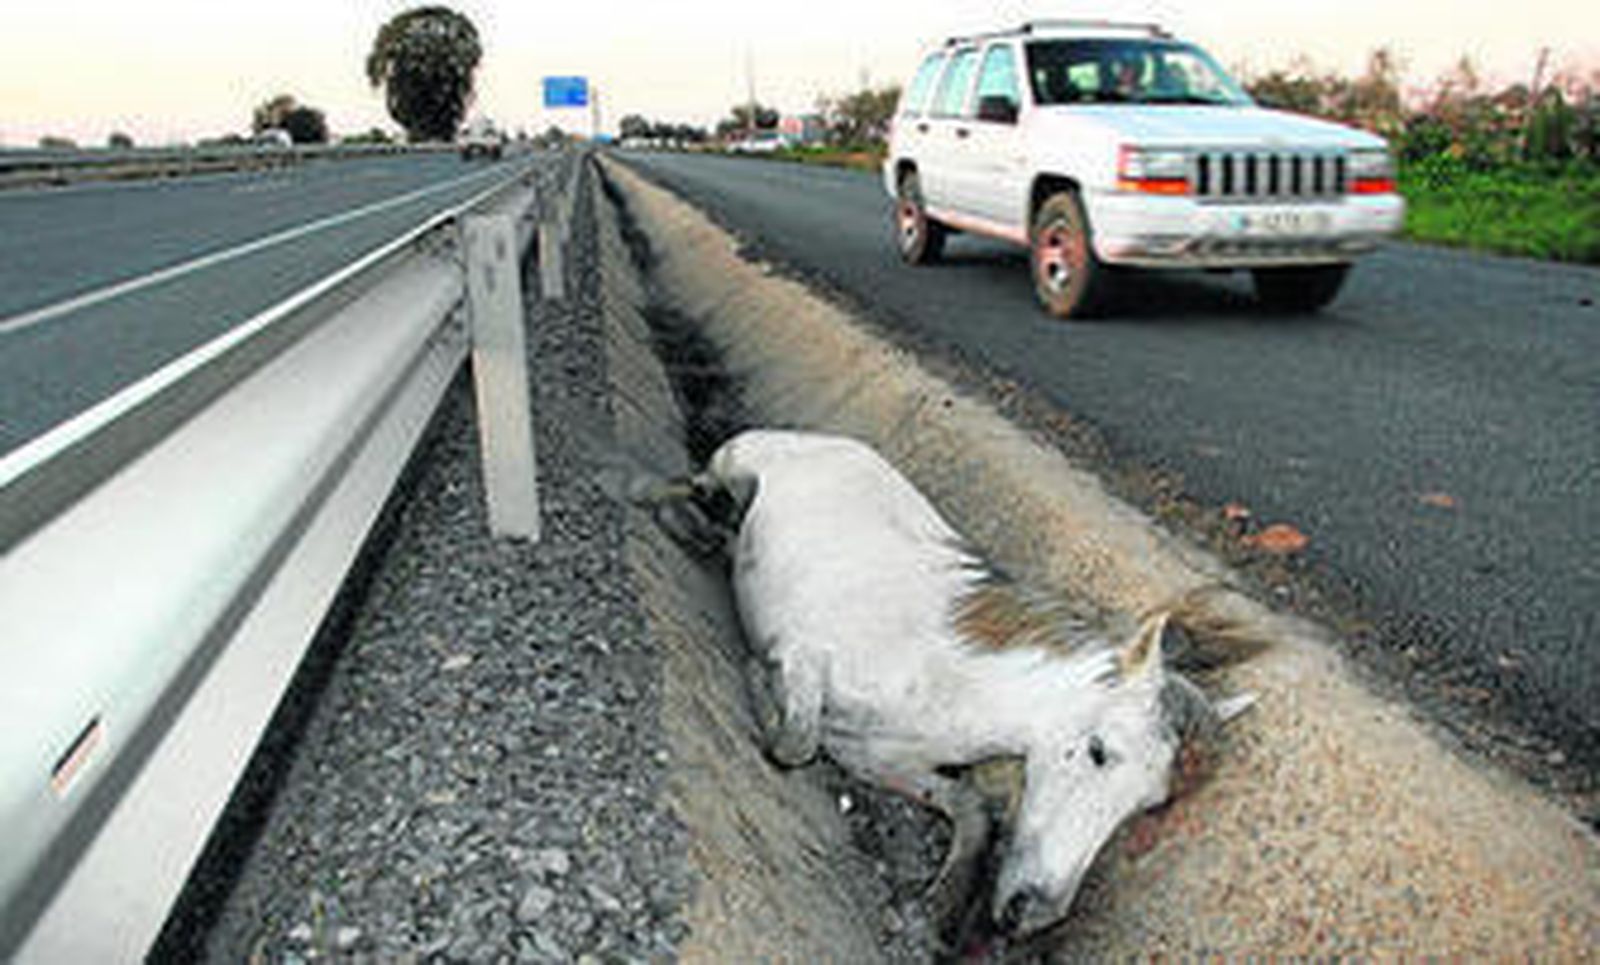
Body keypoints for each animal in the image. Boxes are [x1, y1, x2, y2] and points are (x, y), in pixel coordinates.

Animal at [638, 429, 1257, 942]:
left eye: (1150, 806)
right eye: (1099, 751)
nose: (1034, 913)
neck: (947, 679)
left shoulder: (875, 758)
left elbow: (970, 809)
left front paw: (939, 907)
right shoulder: (803, 655)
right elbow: (795, 742)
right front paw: (757, 681)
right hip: (733, 460)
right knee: (707, 485)